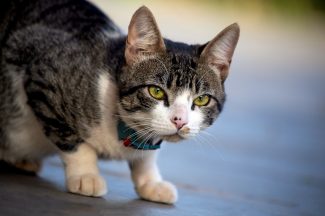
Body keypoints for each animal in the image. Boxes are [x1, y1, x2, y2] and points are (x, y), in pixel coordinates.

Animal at [0, 0, 238, 204]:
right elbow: (72, 139)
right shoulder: (41, 75)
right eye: (156, 92)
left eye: (202, 99)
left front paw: (150, 181)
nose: (180, 121)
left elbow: (147, 156)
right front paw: (86, 175)